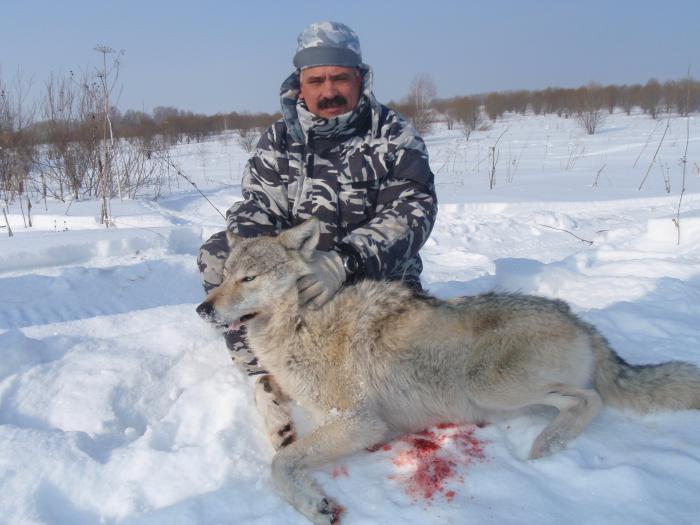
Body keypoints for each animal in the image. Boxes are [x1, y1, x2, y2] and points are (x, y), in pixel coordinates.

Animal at [196, 218, 700, 525]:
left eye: (248, 279)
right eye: (222, 277)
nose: (203, 308)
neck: (301, 322)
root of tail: (579, 320)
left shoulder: (359, 422)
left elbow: (280, 465)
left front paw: (312, 504)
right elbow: (265, 395)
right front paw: (279, 426)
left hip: (486, 384)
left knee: (589, 399)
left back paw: (545, 445)